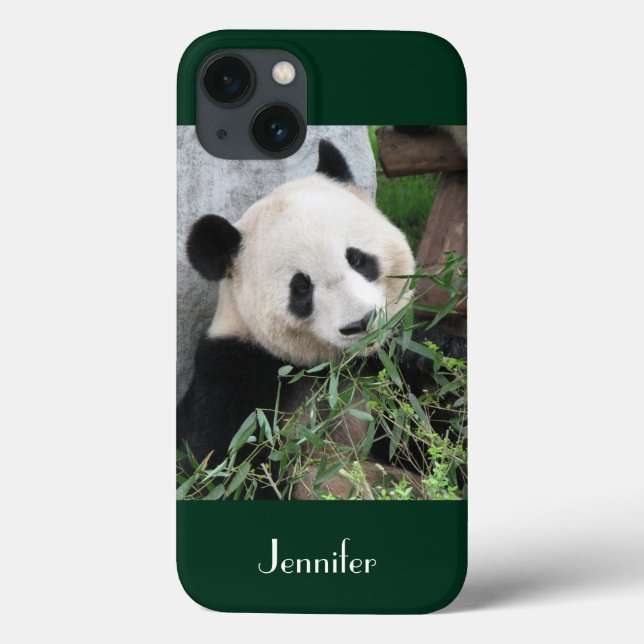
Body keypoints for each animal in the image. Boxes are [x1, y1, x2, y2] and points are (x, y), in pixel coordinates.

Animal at [177, 140, 466, 499]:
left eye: (357, 259)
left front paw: (433, 355)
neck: (330, 369)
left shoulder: (383, 376)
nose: (361, 323)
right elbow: (227, 470)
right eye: (301, 287)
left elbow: (435, 441)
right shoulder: (234, 376)